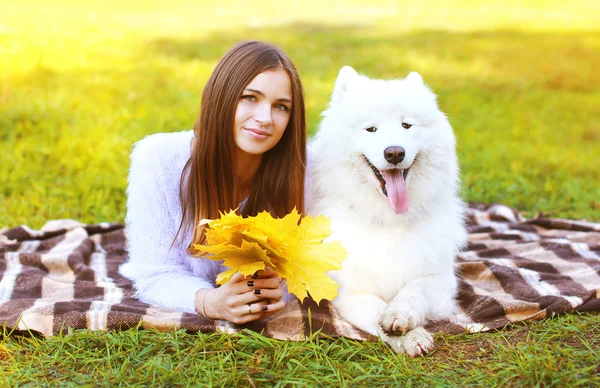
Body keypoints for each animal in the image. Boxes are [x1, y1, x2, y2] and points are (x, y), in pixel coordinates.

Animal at [310, 65, 468, 356]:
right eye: (371, 129)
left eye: (407, 125)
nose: (394, 153)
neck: (389, 220)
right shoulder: (350, 292)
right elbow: (376, 312)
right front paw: (410, 336)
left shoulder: (440, 280)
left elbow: (413, 290)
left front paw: (401, 315)